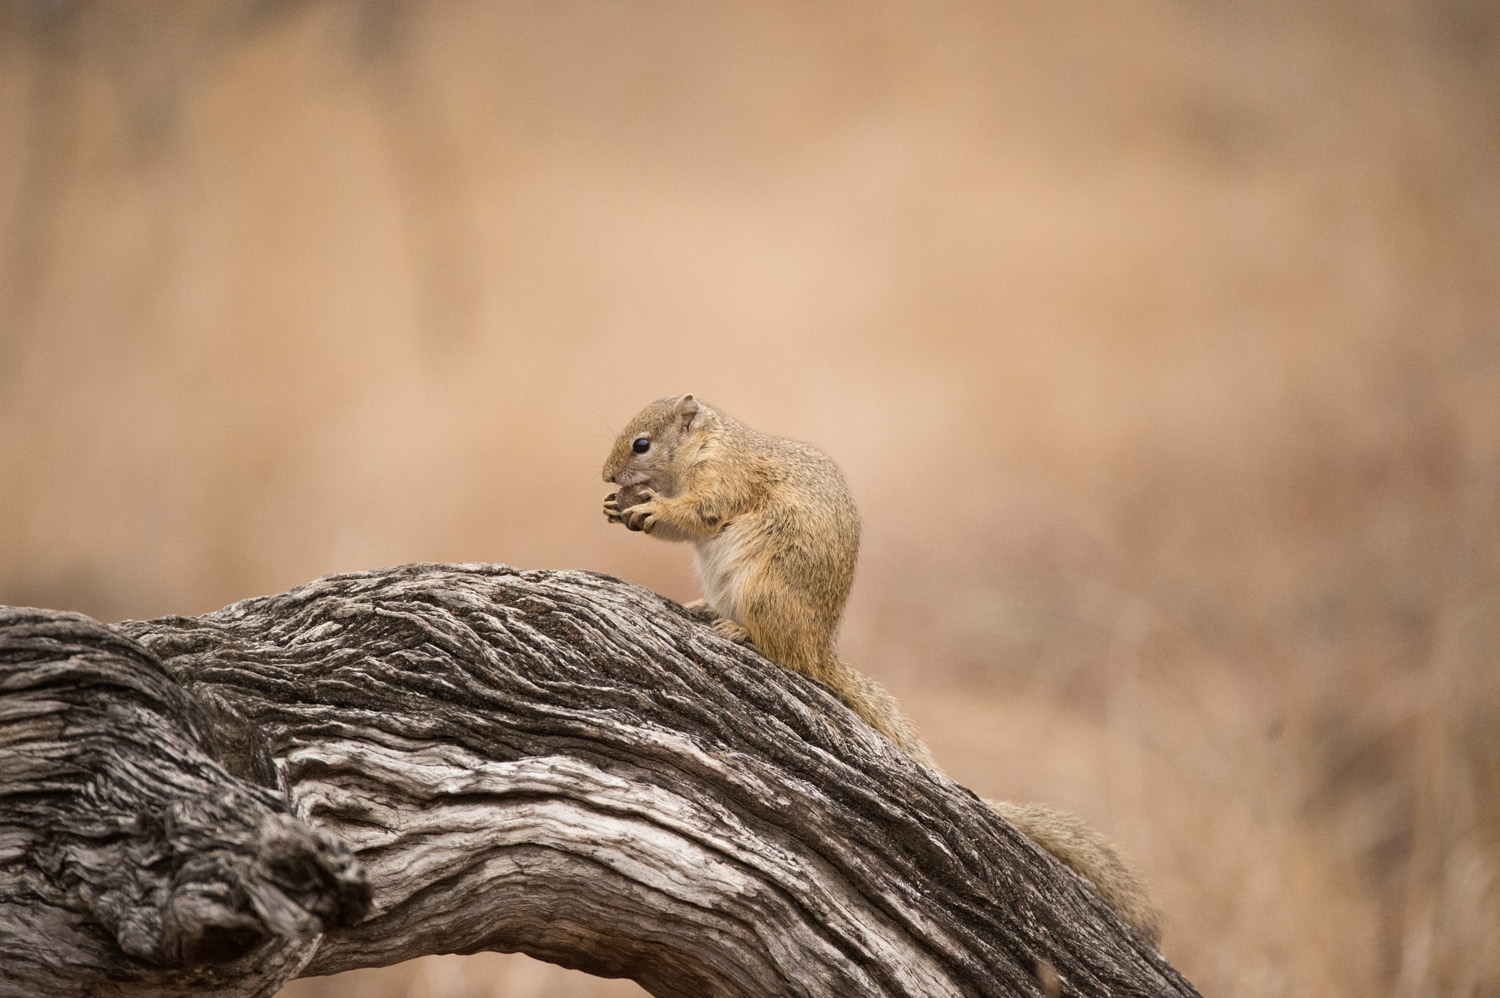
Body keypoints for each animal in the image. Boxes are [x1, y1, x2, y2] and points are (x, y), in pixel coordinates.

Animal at [600, 390, 1158, 942]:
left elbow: (700, 512)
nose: (606, 477)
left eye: (642, 444)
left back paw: (741, 632)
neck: (704, 448)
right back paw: (704, 608)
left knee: (779, 650)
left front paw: (648, 504)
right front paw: (617, 508)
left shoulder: (726, 479)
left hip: (765, 589)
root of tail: (817, 649)